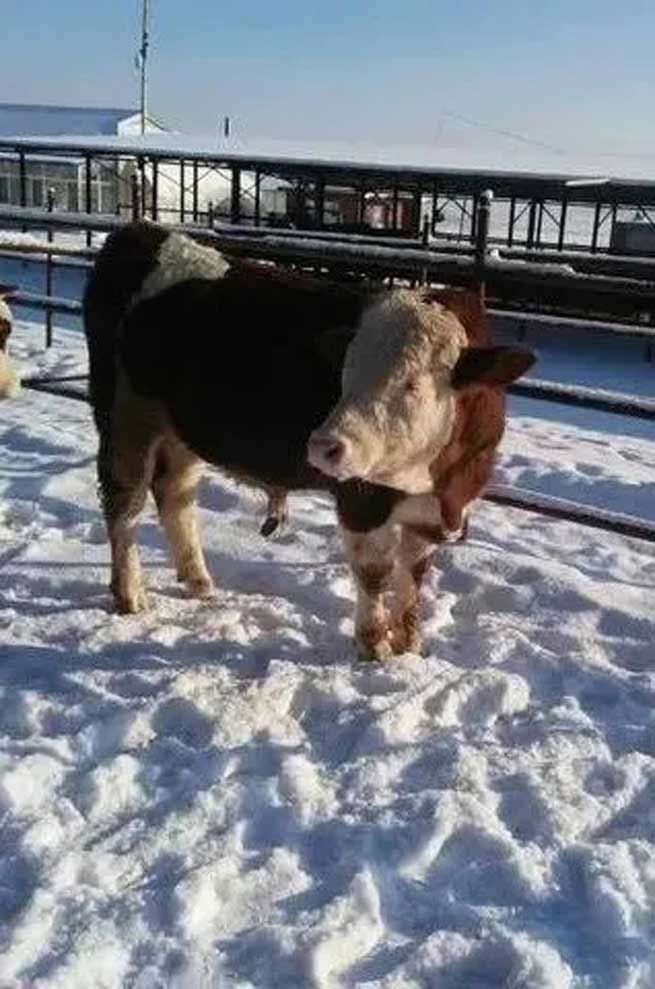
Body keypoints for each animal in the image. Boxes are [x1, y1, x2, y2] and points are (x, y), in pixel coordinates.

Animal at [84, 221, 535, 660]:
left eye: (411, 384)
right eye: (346, 373)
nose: (324, 445)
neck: (440, 484)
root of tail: (140, 231)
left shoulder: (426, 517)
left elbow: (413, 576)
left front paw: (410, 646)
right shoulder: (359, 500)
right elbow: (374, 573)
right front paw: (375, 648)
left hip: (180, 431)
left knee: (176, 495)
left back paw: (198, 581)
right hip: (125, 422)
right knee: (125, 504)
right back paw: (131, 594)